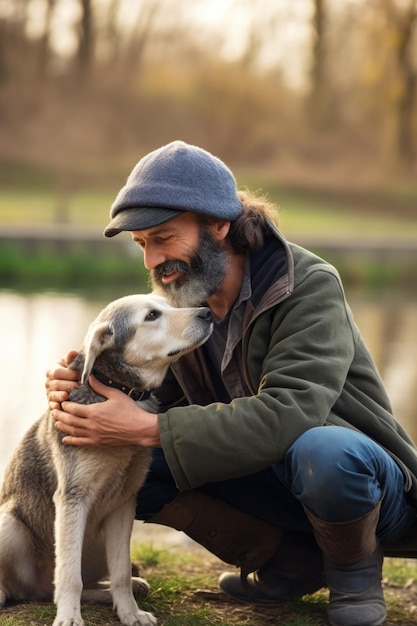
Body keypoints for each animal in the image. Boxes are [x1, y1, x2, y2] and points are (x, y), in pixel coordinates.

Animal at [0, 292, 213, 624]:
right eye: (151, 315)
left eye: (167, 305)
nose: (207, 312)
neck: (121, 391)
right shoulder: (73, 499)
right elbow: (69, 575)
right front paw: (69, 617)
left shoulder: (125, 503)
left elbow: (121, 572)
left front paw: (130, 613)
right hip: (9, 525)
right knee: (30, 584)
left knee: (64, 586)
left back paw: (126, 588)